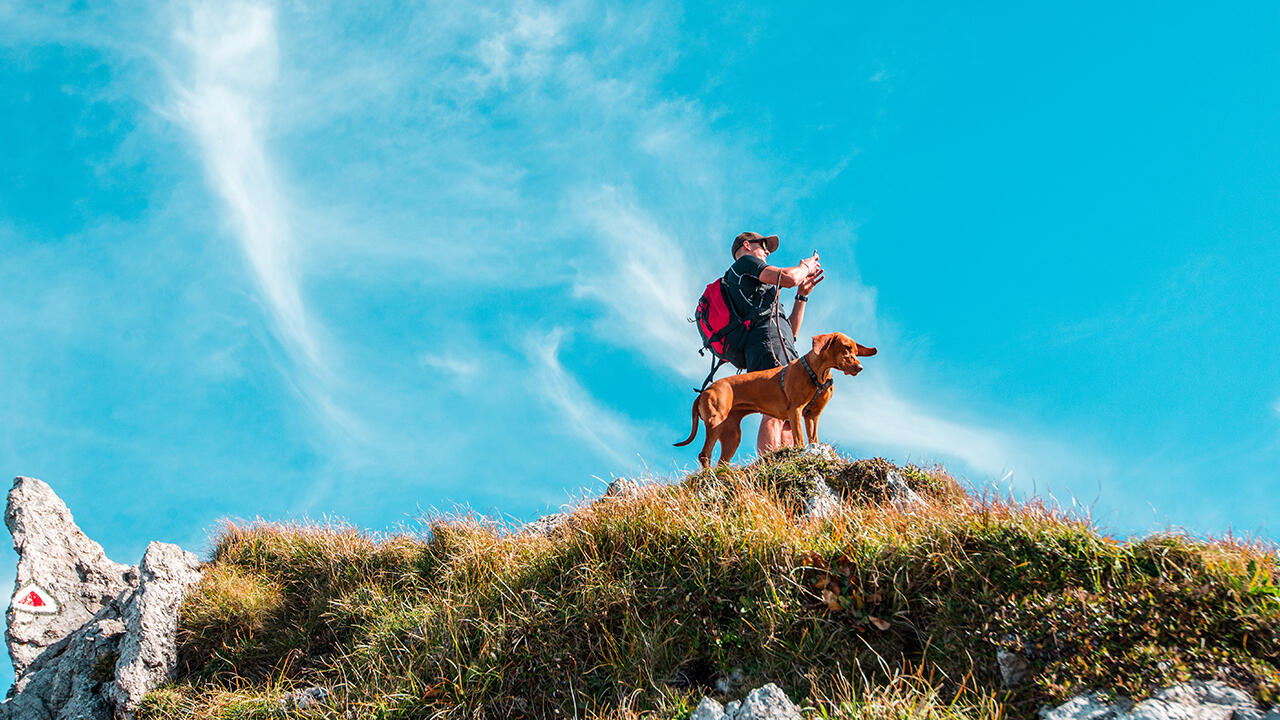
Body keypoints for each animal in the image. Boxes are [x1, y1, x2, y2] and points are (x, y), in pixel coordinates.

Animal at [675, 330, 875, 466]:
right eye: (846, 348)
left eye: (856, 351)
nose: (860, 368)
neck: (818, 373)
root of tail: (705, 391)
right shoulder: (795, 410)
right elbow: (800, 439)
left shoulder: (812, 415)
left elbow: (813, 439)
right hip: (715, 420)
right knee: (704, 455)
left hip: (732, 435)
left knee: (721, 461)